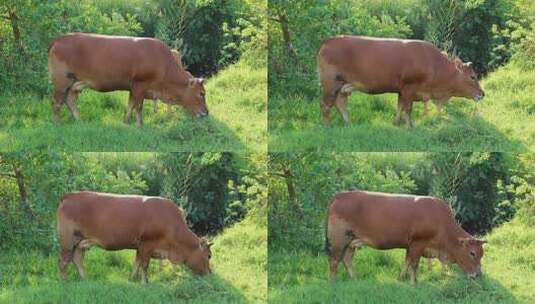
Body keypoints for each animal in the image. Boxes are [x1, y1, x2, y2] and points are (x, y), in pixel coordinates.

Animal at [48, 33, 208, 127]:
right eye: (201, 93)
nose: (206, 113)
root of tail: (58, 40)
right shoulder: (140, 85)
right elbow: (138, 107)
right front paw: (140, 125)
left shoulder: (132, 87)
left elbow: (130, 105)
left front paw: (126, 122)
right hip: (62, 80)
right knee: (57, 102)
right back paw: (57, 123)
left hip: (74, 83)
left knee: (70, 100)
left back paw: (79, 121)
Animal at [56, 191, 211, 284]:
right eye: (209, 256)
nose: (210, 274)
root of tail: (70, 196)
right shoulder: (147, 244)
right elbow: (144, 265)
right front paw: (145, 283)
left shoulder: (140, 246)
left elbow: (137, 263)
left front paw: (132, 279)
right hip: (68, 239)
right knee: (63, 261)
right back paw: (64, 281)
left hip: (80, 242)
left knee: (77, 259)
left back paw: (85, 279)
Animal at [318, 36, 486, 127]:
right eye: (472, 76)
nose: (482, 93)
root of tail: (328, 41)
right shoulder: (409, 88)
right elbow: (408, 108)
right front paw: (410, 126)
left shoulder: (401, 89)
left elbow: (399, 106)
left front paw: (396, 123)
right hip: (331, 83)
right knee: (326, 105)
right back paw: (328, 126)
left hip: (342, 85)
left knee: (340, 104)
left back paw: (348, 124)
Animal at [326, 191, 486, 284]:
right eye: (472, 253)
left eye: (481, 254)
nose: (478, 275)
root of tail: (340, 195)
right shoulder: (418, 244)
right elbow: (414, 264)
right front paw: (414, 283)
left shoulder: (410, 246)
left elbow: (406, 262)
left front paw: (401, 278)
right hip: (339, 238)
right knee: (334, 261)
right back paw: (333, 283)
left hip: (351, 241)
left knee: (347, 260)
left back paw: (354, 279)